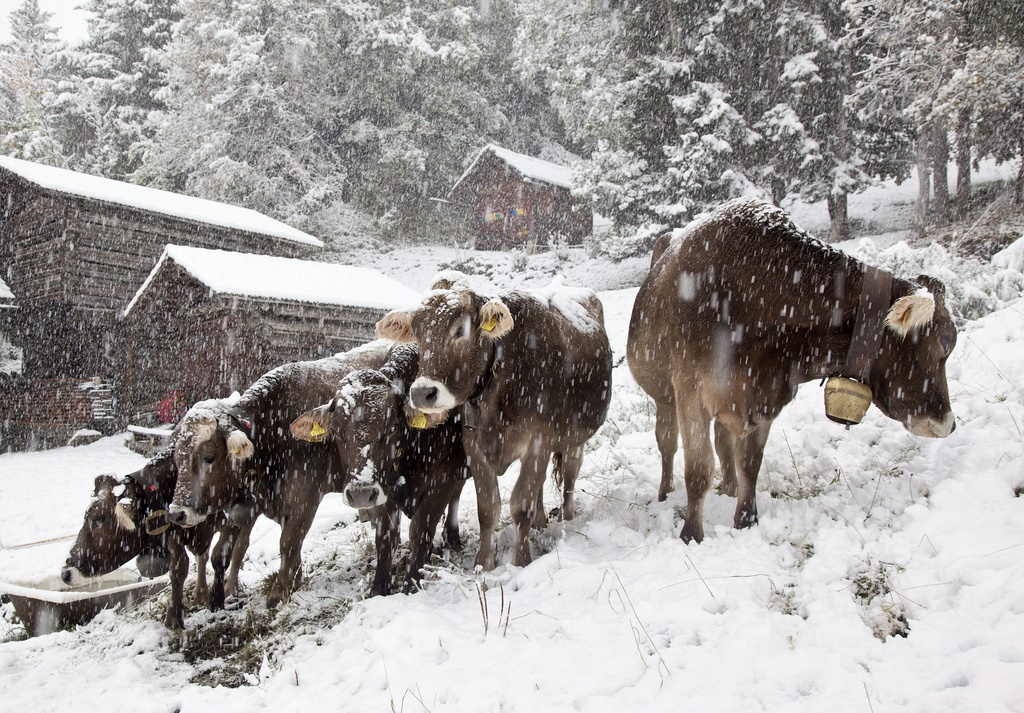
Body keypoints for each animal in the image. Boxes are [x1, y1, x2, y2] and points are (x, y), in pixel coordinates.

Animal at [286, 342, 466, 594]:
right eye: (337, 432)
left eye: (391, 428)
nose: (360, 493)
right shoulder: (383, 488)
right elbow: (385, 538)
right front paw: (379, 588)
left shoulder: (443, 476)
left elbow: (421, 530)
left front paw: (412, 584)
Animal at [380, 272, 610, 569]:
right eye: (417, 334)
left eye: (460, 330)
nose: (422, 393)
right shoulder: (474, 445)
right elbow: (488, 508)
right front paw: (483, 565)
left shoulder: (537, 440)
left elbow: (521, 505)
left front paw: (520, 561)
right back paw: (540, 523)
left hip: (575, 438)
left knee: (570, 475)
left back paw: (566, 519)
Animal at [626, 197, 954, 544]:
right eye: (947, 342)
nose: (949, 423)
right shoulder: (691, 390)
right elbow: (699, 469)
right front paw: (691, 536)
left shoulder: (766, 396)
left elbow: (749, 463)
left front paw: (745, 520)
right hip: (665, 396)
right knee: (667, 443)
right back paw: (665, 494)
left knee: (723, 442)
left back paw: (729, 490)